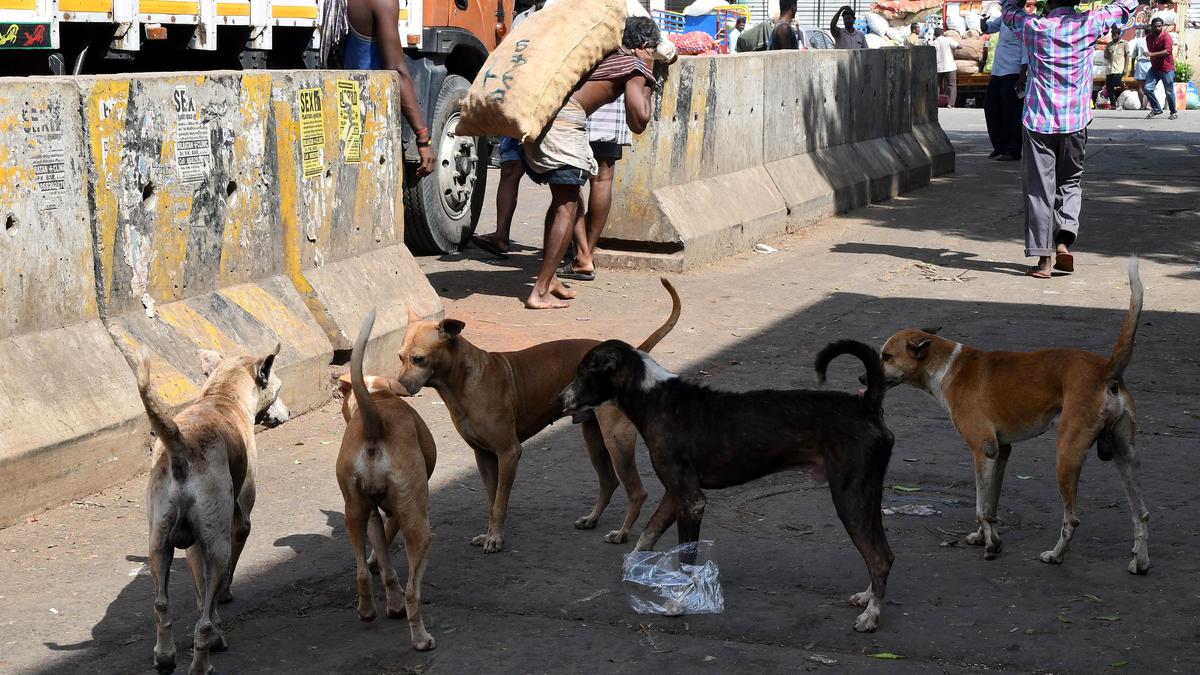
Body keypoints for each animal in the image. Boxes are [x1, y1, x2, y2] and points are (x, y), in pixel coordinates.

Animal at [134, 343, 290, 667]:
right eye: (278, 388)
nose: (289, 412)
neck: (222, 395)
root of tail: (181, 446)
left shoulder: (194, 544)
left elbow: (201, 592)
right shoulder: (239, 523)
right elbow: (222, 581)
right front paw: (225, 594)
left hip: (159, 544)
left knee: (162, 604)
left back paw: (165, 654)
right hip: (218, 546)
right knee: (204, 621)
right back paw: (205, 658)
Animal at [333, 309, 436, 648]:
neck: (378, 397)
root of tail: (373, 423)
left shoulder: (372, 515)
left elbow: (382, 558)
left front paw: (388, 597)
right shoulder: (395, 513)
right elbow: (389, 548)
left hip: (353, 510)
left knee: (361, 572)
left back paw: (369, 610)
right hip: (418, 524)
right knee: (413, 591)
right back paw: (421, 638)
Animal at [396, 276, 686, 550]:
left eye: (419, 359)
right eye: (400, 357)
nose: (399, 386)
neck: (463, 381)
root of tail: (629, 358)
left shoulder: (509, 453)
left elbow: (500, 503)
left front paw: (496, 539)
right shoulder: (485, 457)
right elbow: (491, 501)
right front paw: (489, 534)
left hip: (616, 441)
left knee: (636, 491)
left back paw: (623, 533)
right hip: (594, 439)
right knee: (608, 482)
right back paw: (592, 518)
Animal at [559, 338, 892, 629]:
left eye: (583, 371)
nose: (560, 399)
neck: (655, 399)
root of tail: (866, 405)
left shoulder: (691, 500)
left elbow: (686, 560)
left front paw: (679, 603)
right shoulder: (675, 494)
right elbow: (648, 533)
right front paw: (634, 565)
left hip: (849, 498)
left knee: (878, 559)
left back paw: (872, 616)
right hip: (868, 495)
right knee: (885, 553)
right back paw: (867, 597)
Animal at [878, 254, 1147, 569]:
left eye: (886, 356)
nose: (861, 378)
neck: (946, 364)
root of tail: (1106, 371)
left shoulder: (984, 450)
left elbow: (981, 507)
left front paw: (991, 545)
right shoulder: (1001, 452)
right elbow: (990, 505)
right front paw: (983, 536)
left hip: (1066, 458)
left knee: (1072, 520)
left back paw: (1055, 555)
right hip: (1126, 456)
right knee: (1141, 513)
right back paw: (1140, 562)